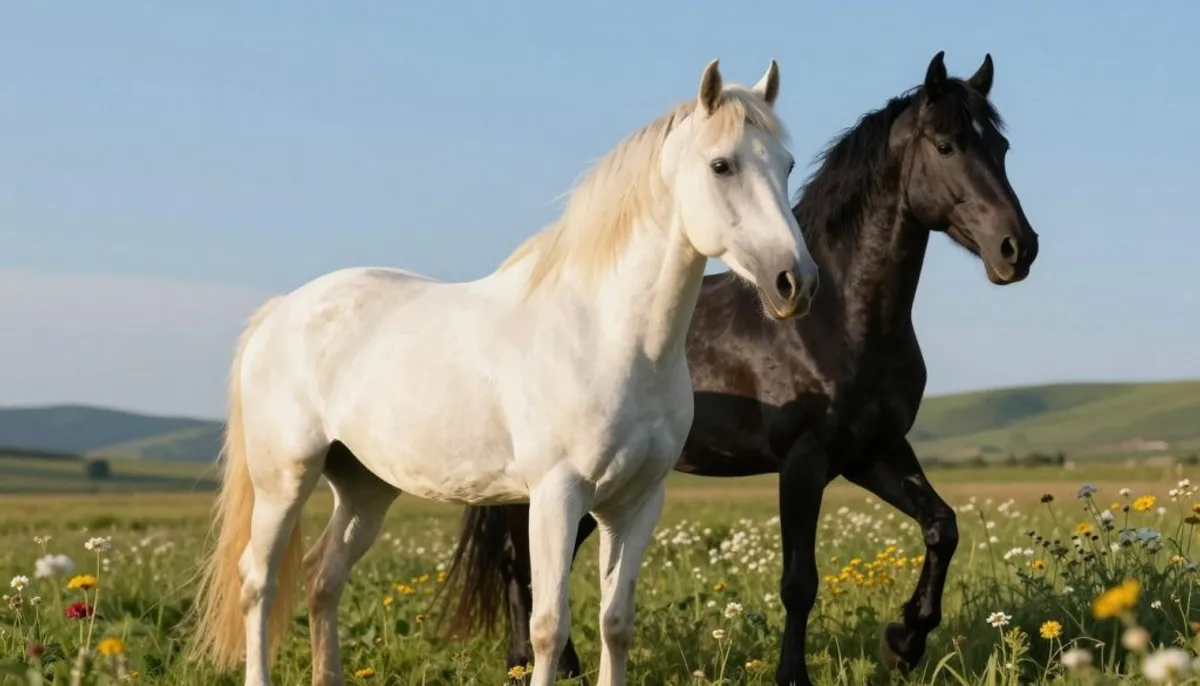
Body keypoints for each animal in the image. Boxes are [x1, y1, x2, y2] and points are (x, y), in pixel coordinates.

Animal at [187, 58, 818, 686]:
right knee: (258, 581)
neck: (610, 335)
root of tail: (280, 312)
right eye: (722, 165)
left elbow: (616, 622)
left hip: (365, 488)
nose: (796, 283)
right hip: (284, 480)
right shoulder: (556, 496)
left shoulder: (637, 503)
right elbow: (548, 627)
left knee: (324, 576)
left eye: (786, 165)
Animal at [441, 51, 1040, 686]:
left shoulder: (873, 453)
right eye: (947, 146)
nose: (1017, 248)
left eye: (1000, 147)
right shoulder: (803, 461)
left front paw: (903, 641)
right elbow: (799, 582)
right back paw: (520, 659)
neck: (841, 318)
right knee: (518, 562)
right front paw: (795, 674)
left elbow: (942, 526)